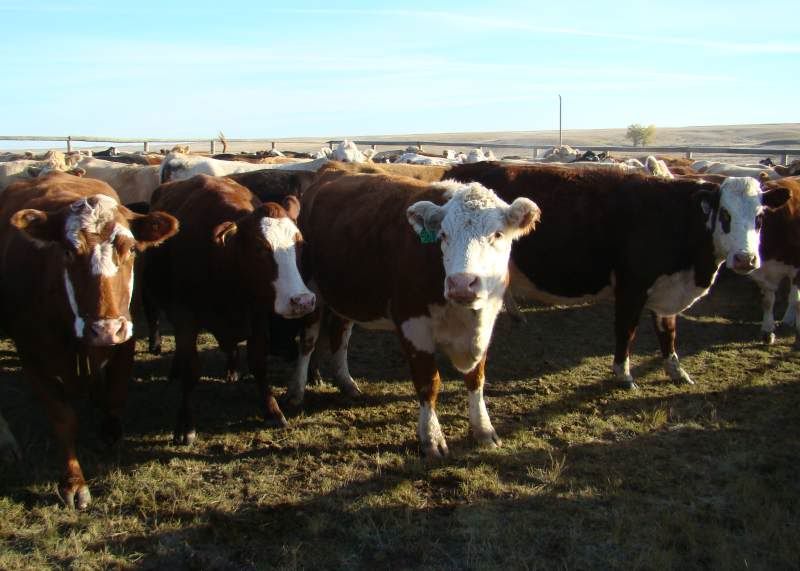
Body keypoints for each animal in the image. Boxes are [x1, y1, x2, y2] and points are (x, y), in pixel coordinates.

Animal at [0, 171, 178, 508]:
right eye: (69, 251)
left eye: (131, 249)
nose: (104, 329)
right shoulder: (32, 356)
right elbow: (63, 419)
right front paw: (74, 483)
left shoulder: (125, 342)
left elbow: (116, 397)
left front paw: (110, 433)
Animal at [142, 174, 315, 444]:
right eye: (260, 247)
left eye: (299, 243)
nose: (303, 301)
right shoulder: (185, 318)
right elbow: (191, 370)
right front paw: (185, 425)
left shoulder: (256, 317)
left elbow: (258, 362)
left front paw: (272, 411)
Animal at [286, 172, 540, 458]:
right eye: (443, 235)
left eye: (497, 234)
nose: (461, 284)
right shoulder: (412, 325)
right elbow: (429, 382)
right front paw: (432, 438)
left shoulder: (486, 323)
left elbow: (476, 378)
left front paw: (484, 430)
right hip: (310, 290)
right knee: (307, 341)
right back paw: (296, 391)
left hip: (347, 294)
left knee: (340, 335)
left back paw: (347, 382)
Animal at [444, 162, 789, 388]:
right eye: (725, 214)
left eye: (760, 217)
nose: (746, 259)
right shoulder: (631, 287)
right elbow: (627, 331)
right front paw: (623, 374)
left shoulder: (667, 291)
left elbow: (668, 331)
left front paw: (675, 369)